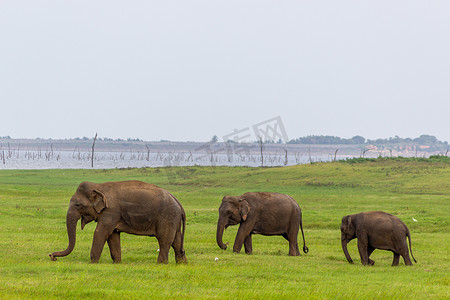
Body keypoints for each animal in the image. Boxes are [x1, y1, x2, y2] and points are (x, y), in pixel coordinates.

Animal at [50, 179, 187, 264]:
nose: (52, 256)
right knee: (177, 242)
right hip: (174, 220)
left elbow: (100, 232)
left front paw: (92, 262)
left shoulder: (111, 211)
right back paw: (182, 264)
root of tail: (178, 203)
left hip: (167, 218)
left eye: (78, 204)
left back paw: (160, 264)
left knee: (164, 240)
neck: (99, 186)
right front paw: (117, 262)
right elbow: (113, 235)